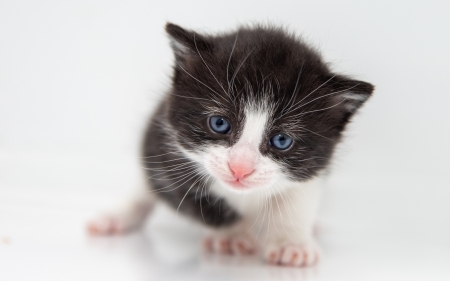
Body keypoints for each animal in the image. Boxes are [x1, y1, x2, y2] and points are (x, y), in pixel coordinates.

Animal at [87, 23, 372, 266]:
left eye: (281, 140)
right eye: (219, 123)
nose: (240, 168)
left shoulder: (315, 169)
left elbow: (297, 199)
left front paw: (291, 243)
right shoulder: (165, 153)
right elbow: (203, 203)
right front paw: (233, 236)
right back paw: (117, 217)